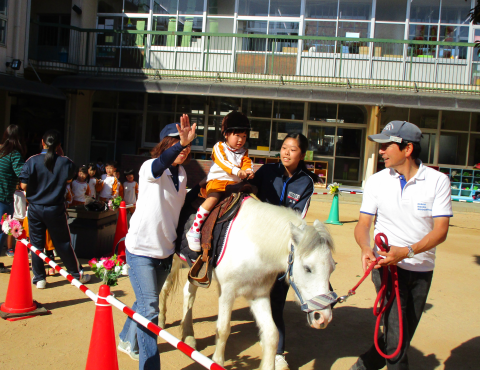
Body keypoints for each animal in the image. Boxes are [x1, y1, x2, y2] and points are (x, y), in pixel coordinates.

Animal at [159, 198, 336, 368]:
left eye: (332, 268)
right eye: (307, 268)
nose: (323, 318)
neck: (253, 243)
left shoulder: (258, 295)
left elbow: (272, 335)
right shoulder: (227, 292)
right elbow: (223, 329)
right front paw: (217, 361)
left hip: (195, 269)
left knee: (188, 293)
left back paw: (188, 337)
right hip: (172, 260)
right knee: (164, 289)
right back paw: (161, 322)